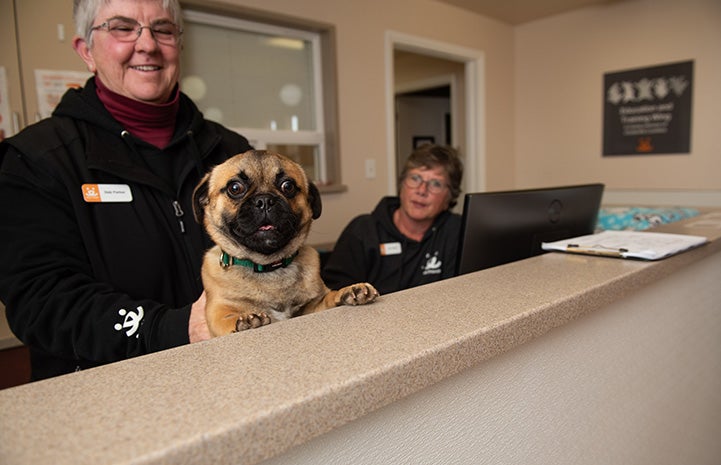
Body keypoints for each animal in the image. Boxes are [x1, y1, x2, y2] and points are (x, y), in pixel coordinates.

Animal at [193, 150, 382, 336]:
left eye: (288, 186)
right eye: (235, 188)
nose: (264, 201)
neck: (269, 266)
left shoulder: (311, 307)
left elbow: (328, 299)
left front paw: (346, 292)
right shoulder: (218, 311)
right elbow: (227, 317)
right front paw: (245, 319)